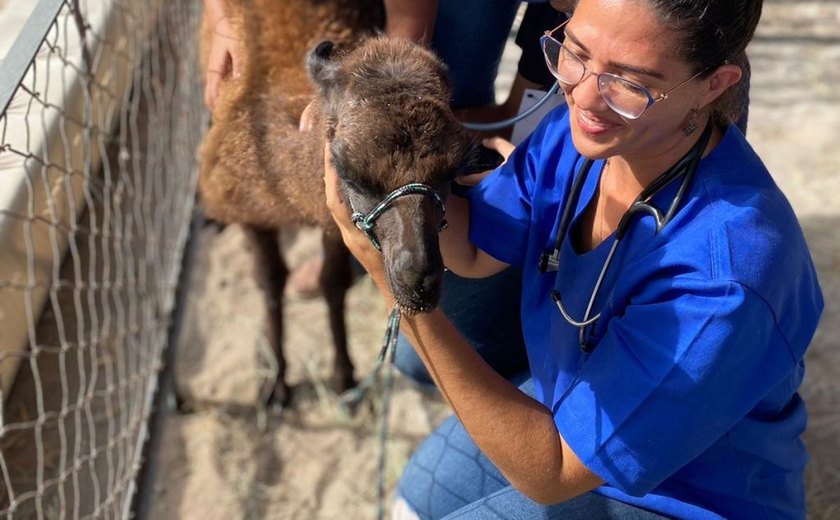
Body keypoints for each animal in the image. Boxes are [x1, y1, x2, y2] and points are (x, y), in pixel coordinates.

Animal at [196, 0, 472, 406]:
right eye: (348, 169)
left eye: (455, 169)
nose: (420, 279)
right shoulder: (249, 208)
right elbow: (271, 280)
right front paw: (276, 382)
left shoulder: (333, 220)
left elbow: (334, 282)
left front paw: (344, 376)